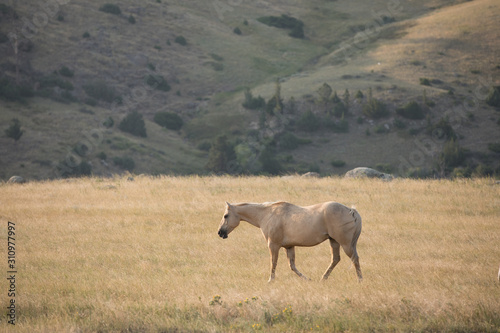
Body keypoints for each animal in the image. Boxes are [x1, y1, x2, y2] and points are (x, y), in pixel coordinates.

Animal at [217, 201, 362, 282]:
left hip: (345, 244)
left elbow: (273, 263)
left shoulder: (273, 245)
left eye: (226, 216)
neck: (267, 214)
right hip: (335, 242)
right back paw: (323, 278)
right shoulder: (289, 247)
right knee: (336, 259)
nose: (220, 232)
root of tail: (351, 211)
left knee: (354, 258)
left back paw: (359, 280)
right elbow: (292, 266)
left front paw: (271, 280)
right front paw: (307, 279)